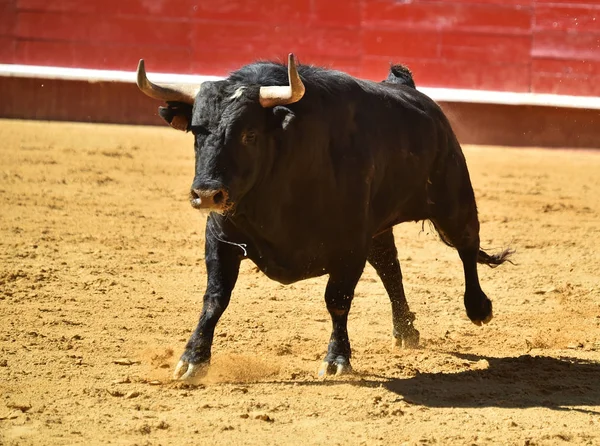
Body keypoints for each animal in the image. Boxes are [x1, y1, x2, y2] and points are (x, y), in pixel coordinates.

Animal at [137, 55, 510, 380]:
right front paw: (192, 360)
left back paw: (478, 308)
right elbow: (215, 299)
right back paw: (405, 331)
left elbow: (337, 301)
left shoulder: (349, 248)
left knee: (466, 246)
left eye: (249, 134)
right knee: (390, 268)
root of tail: (409, 90)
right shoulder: (221, 239)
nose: (207, 193)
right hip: (378, 228)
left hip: (453, 200)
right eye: (197, 132)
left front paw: (337, 360)